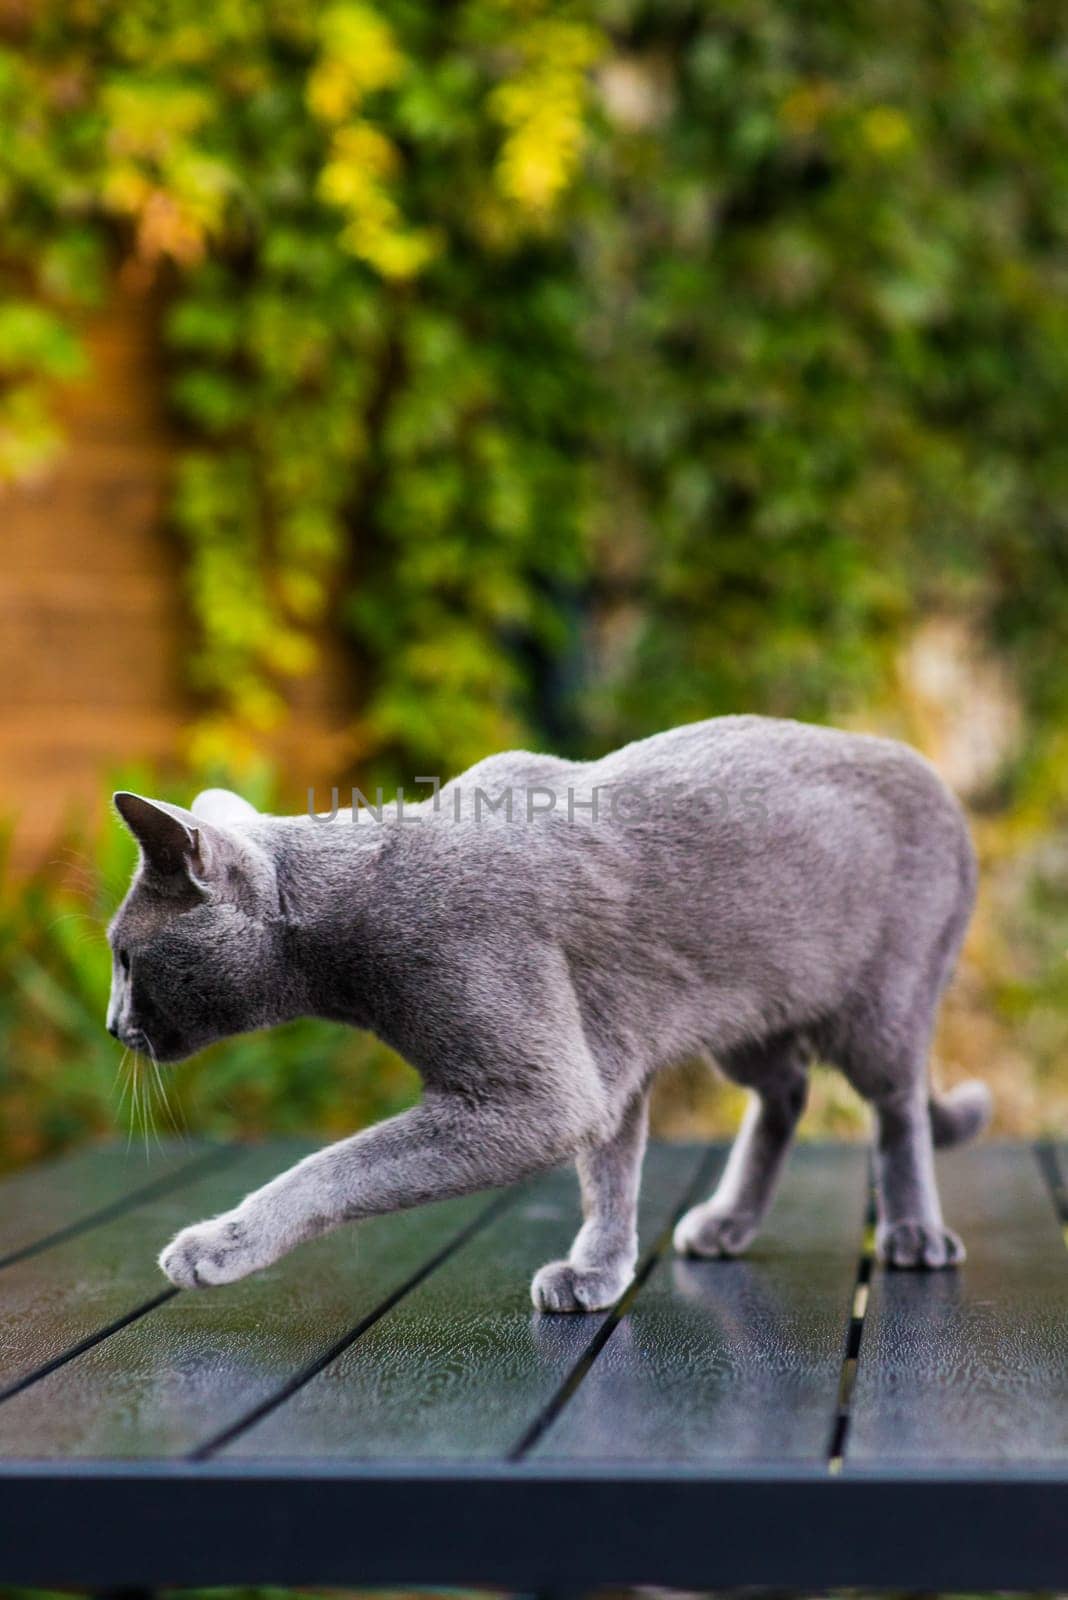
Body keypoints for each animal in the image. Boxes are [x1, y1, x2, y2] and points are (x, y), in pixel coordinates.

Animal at [103, 720, 991, 1305]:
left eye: (122, 957)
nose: (111, 1024)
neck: (348, 915)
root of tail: (940, 786)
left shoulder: (543, 1090)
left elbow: (333, 1164)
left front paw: (218, 1245)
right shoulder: (607, 1060)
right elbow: (610, 1174)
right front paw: (598, 1270)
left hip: (880, 1007)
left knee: (898, 1107)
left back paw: (914, 1232)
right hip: (746, 1013)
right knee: (788, 1089)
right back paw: (727, 1220)